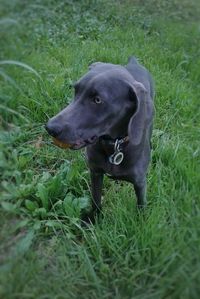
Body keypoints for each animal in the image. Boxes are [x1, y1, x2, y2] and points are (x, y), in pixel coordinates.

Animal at [45, 57, 155, 224]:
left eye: (97, 100)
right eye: (76, 91)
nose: (50, 127)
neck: (114, 145)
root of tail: (133, 61)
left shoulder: (140, 182)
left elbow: (141, 204)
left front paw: (141, 223)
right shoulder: (95, 172)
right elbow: (95, 199)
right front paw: (94, 219)